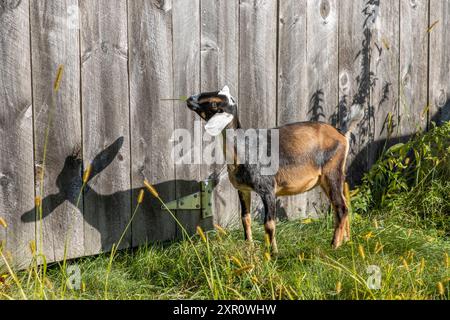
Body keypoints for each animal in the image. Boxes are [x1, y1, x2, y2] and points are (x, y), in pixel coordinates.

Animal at [185, 85, 364, 255]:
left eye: (214, 104)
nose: (189, 99)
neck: (244, 149)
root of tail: (341, 134)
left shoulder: (268, 189)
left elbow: (269, 224)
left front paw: (274, 253)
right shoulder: (243, 189)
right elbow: (245, 219)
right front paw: (249, 248)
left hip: (332, 173)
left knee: (341, 207)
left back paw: (334, 246)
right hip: (327, 179)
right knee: (342, 205)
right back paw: (346, 241)